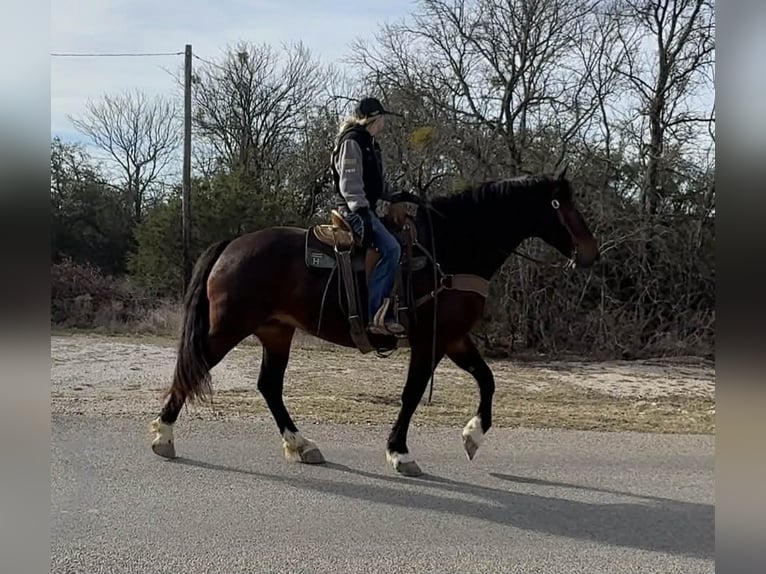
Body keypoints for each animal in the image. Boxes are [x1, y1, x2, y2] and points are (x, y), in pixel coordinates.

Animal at [149, 168, 599, 476]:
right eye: (560, 205)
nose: (590, 252)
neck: (451, 249)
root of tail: (232, 245)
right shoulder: (431, 342)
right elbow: (412, 394)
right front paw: (400, 452)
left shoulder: (454, 338)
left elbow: (487, 381)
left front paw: (473, 436)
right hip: (229, 328)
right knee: (192, 370)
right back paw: (163, 435)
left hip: (276, 331)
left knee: (269, 387)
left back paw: (301, 445)